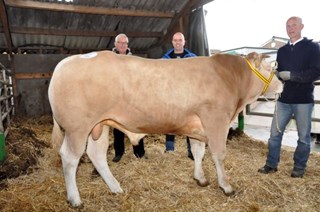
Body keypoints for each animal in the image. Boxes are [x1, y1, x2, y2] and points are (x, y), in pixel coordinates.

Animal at [48, 51, 282, 207]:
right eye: (271, 68)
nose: (281, 85)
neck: (228, 77)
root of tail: (65, 63)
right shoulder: (216, 120)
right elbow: (218, 154)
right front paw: (226, 186)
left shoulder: (197, 126)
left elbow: (198, 152)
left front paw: (200, 178)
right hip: (78, 128)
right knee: (69, 157)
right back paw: (75, 199)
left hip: (101, 125)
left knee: (96, 154)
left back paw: (116, 188)